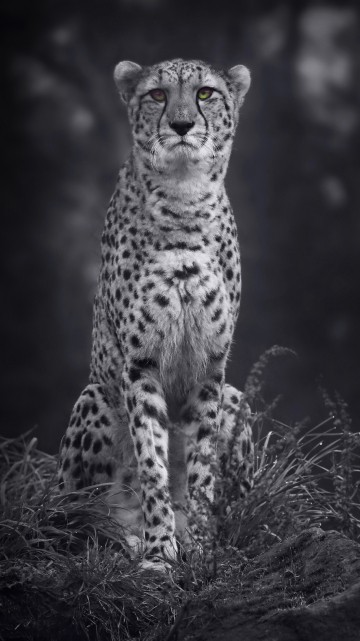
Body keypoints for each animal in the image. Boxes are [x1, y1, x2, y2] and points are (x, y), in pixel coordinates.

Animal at [59, 56, 255, 564]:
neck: (184, 199)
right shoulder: (139, 364)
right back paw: (125, 536)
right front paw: (158, 552)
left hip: (236, 399)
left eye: (205, 93)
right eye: (157, 95)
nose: (182, 124)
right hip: (95, 397)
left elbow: (201, 469)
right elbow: (151, 462)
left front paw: (200, 546)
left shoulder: (210, 368)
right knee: (72, 519)